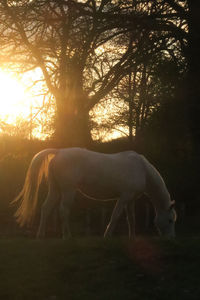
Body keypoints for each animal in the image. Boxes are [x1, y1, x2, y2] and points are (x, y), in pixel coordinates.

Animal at [13, 148, 177, 239]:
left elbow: (131, 218)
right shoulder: (124, 197)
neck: (142, 169)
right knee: (63, 211)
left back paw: (40, 236)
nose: (170, 239)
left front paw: (132, 237)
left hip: (55, 189)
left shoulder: (130, 200)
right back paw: (67, 236)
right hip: (68, 191)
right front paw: (107, 236)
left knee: (46, 209)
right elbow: (115, 216)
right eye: (170, 220)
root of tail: (59, 152)